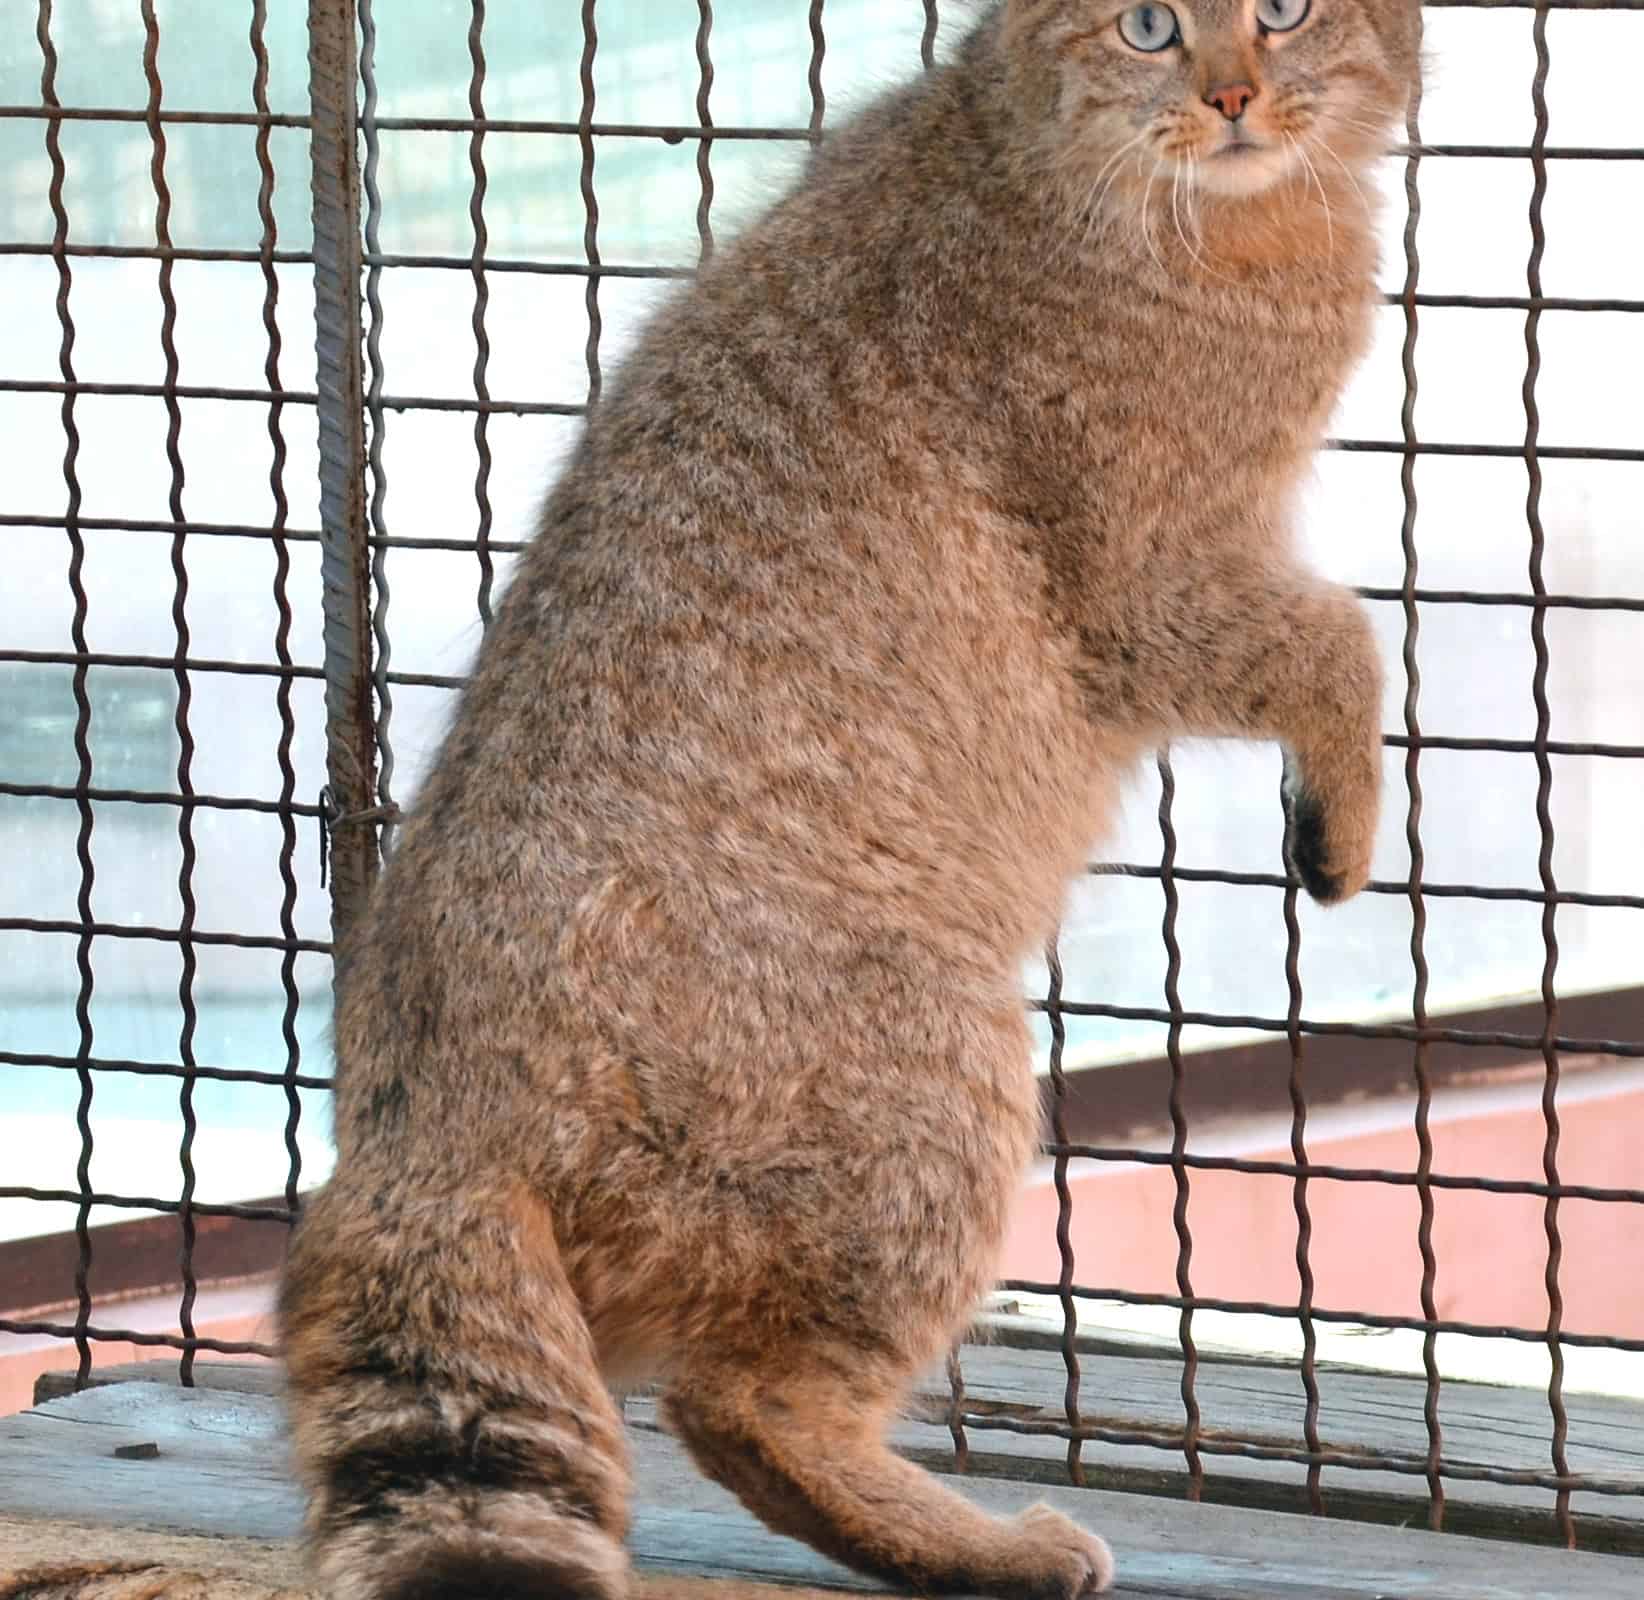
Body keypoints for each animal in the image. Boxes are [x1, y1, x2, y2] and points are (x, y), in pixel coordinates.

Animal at [279, 0, 1413, 1591]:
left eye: (1291, 10)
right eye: (1146, 25)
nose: (1236, 96)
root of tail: (415, 1128)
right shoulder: (1144, 582)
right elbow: (1336, 636)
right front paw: (1347, 808)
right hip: (928, 1079)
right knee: (740, 1400)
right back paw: (988, 1547)